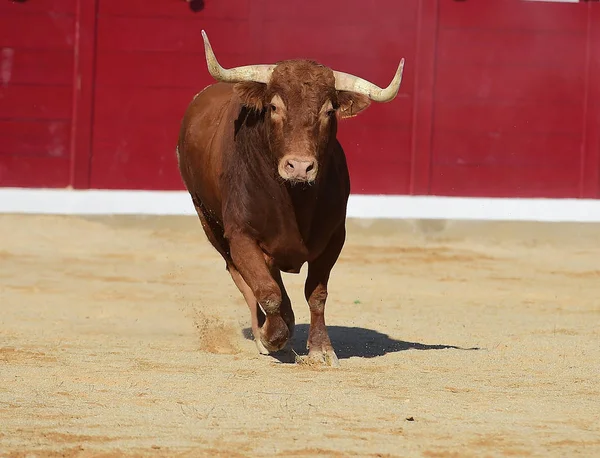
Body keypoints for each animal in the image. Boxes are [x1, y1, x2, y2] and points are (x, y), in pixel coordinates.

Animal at [178, 30, 404, 366]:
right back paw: (264, 334)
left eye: (329, 110)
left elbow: (316, 294)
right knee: (242, 278)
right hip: (208, 221)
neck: (294, 201)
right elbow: (266, 292)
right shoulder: (241, 236)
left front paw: (321, 349)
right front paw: (273, 336)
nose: (299, 166)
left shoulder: (334, 238)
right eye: (274, 107)